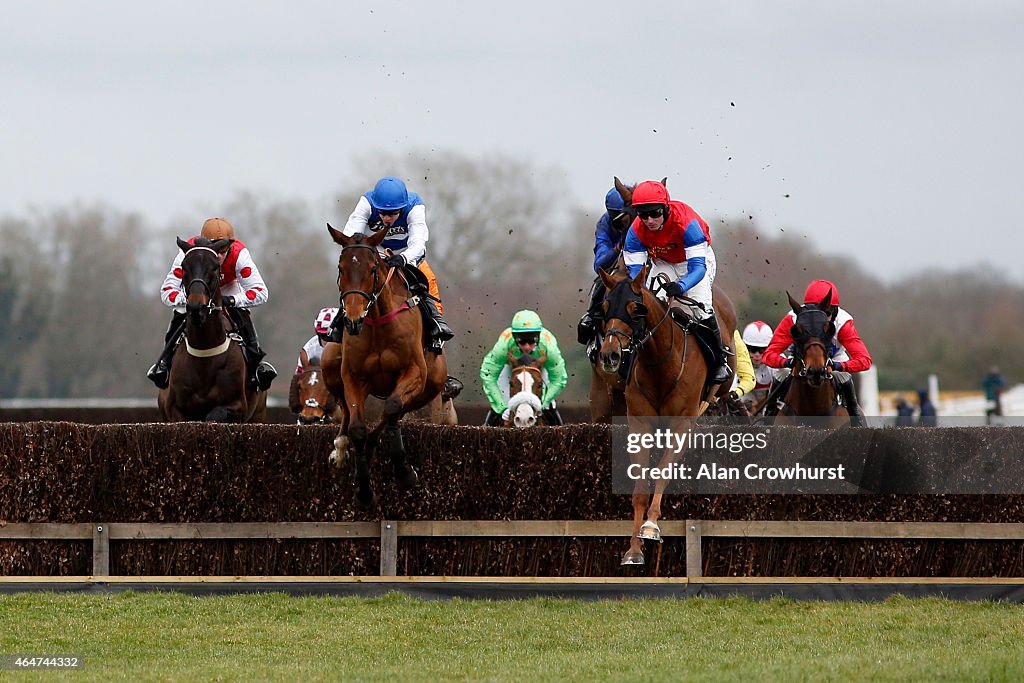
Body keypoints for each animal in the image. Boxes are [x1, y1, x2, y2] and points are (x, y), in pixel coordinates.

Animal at [319, 224, 448, 507]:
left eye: (372, 269)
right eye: (341, 268)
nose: (353, 319)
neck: (377, 323)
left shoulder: (414, 373)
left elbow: (391, 408)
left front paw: (404, 473)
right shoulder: (353, 377)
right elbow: (357, 427)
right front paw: (364, 490)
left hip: (429, 387)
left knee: (395, 412)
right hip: (330, 366)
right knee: (346, 411)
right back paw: (341, 448)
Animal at [598, 264, 741, 565]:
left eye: (636, 308)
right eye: (605, 306)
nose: (610, 355)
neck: (659, 363)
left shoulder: (682, 423)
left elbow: (663, 470)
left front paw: (651, 526)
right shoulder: (639, 424)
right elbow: (640, 487)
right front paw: (634, 548)